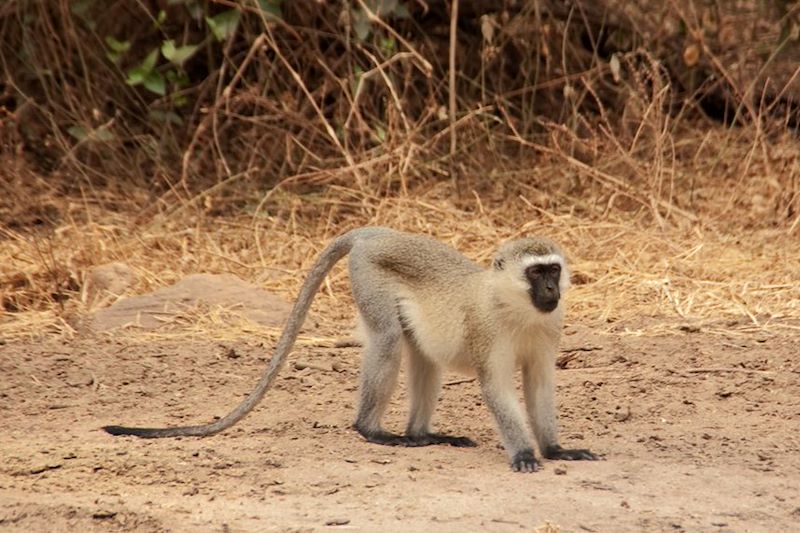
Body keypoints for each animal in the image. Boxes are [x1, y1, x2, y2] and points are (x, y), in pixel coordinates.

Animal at [103, 227, 596, 472]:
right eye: (535, 273)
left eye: (553, 270)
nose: (551, 289)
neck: (515, 306)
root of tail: (376, 234)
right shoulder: (487, 331)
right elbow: (496, 388)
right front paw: (525, 454)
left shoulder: (549, 329)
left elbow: (540, 384)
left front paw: (554, 449)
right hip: (368, 275)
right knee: (388, 341)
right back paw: (372, 430)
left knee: (422, 357)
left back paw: (421, 435)